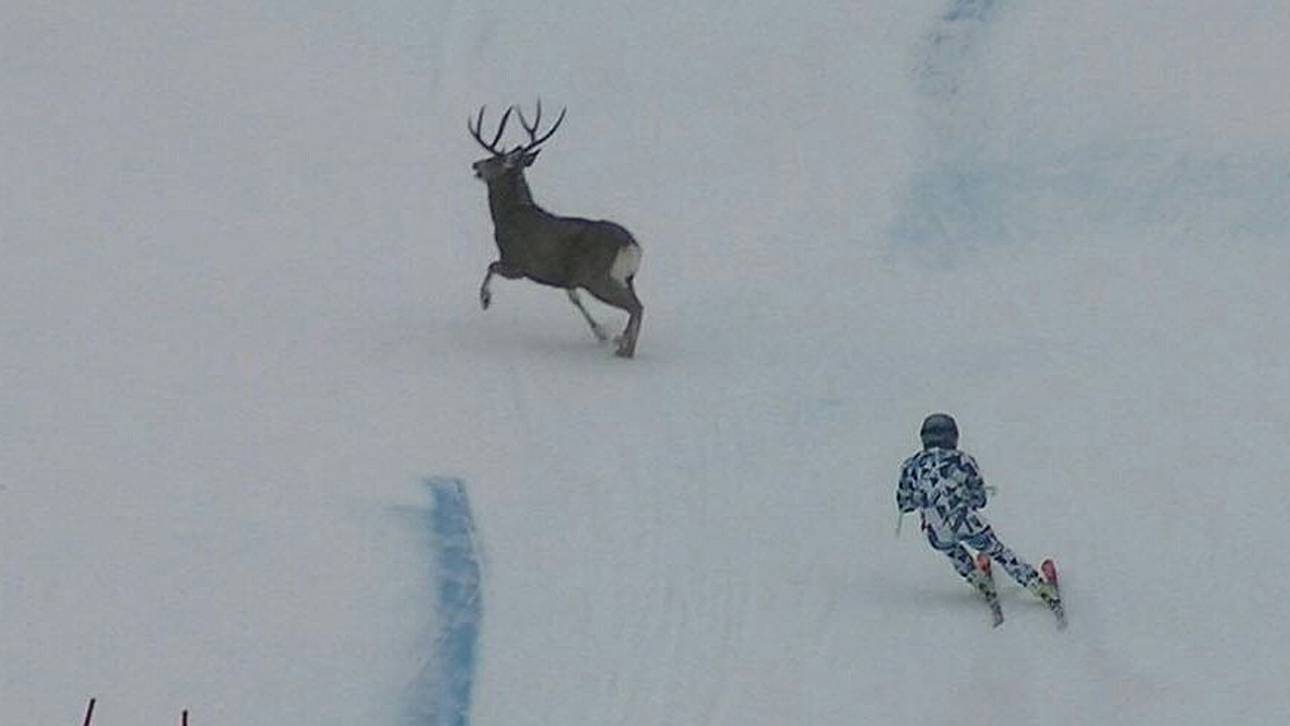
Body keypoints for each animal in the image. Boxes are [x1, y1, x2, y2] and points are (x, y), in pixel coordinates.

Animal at [469, 101, 644, 358]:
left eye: (494, 160)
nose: (475, 165)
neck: (508, 216)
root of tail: (631, 245)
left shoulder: (519, 264)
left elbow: (490, 266)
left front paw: (485, 300)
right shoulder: (565, 279)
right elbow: (573, 298)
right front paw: (601, 333)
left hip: (599, 278)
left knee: (635, 307)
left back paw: (623, 350)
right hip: (626, 278)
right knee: (638, 305)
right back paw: (623, 346)